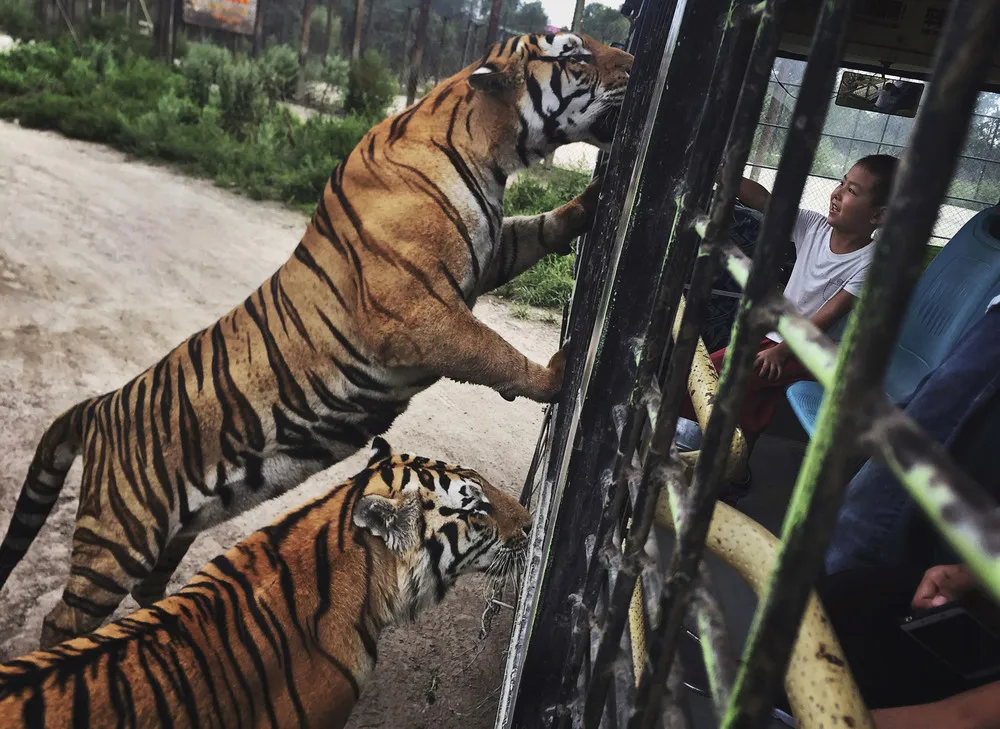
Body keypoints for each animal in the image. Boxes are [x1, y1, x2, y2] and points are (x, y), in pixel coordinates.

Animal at [0, 32, 631, 648]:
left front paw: (592, 197)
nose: (632, 64)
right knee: (63, 619)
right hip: (120, 538)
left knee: (147, 590)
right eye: (577, 54)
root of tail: (99, 405)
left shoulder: (492, 253)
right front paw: (561, 371)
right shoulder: (416, 311)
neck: (490, 150)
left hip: (176, 530)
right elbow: (493, 350)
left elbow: (542, 228)